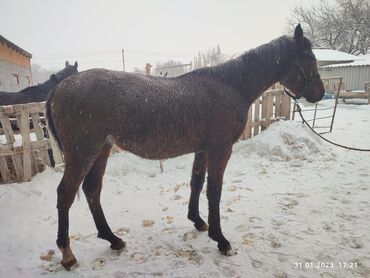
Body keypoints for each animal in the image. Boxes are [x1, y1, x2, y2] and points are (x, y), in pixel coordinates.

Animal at [45, 24, 324, 270]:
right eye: (310, 59)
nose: (320, 94)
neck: (230, 86)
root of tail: (60, 88)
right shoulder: (220, 149)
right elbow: (214, 191)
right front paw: (221, 241)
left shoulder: (203, 150)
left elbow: (196, 183)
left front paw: (198, 222)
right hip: (83, 152)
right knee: (65, 195)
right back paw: (68, 255)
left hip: (101, 150)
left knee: (92, 190)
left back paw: (113, 239)